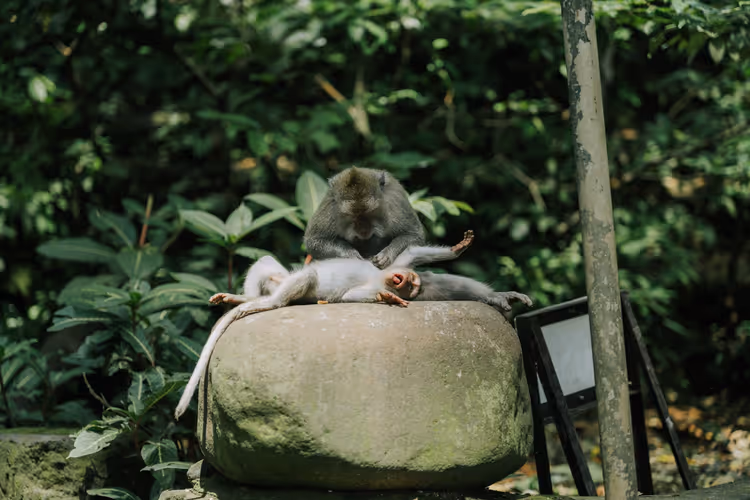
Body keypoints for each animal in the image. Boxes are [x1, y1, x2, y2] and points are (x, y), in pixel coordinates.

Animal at [173, 231, 477, 421]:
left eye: (412, 288)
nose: (404, 283)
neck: (381, 278)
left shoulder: (375, 284)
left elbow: (350, 297)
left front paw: (387, 298)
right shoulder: (393, 266)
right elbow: (411, 253)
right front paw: (456, 249)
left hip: (291, 290)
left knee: (304, 280)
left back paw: (265, 304)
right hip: (278, 279)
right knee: (274, 266)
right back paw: (246, 299)